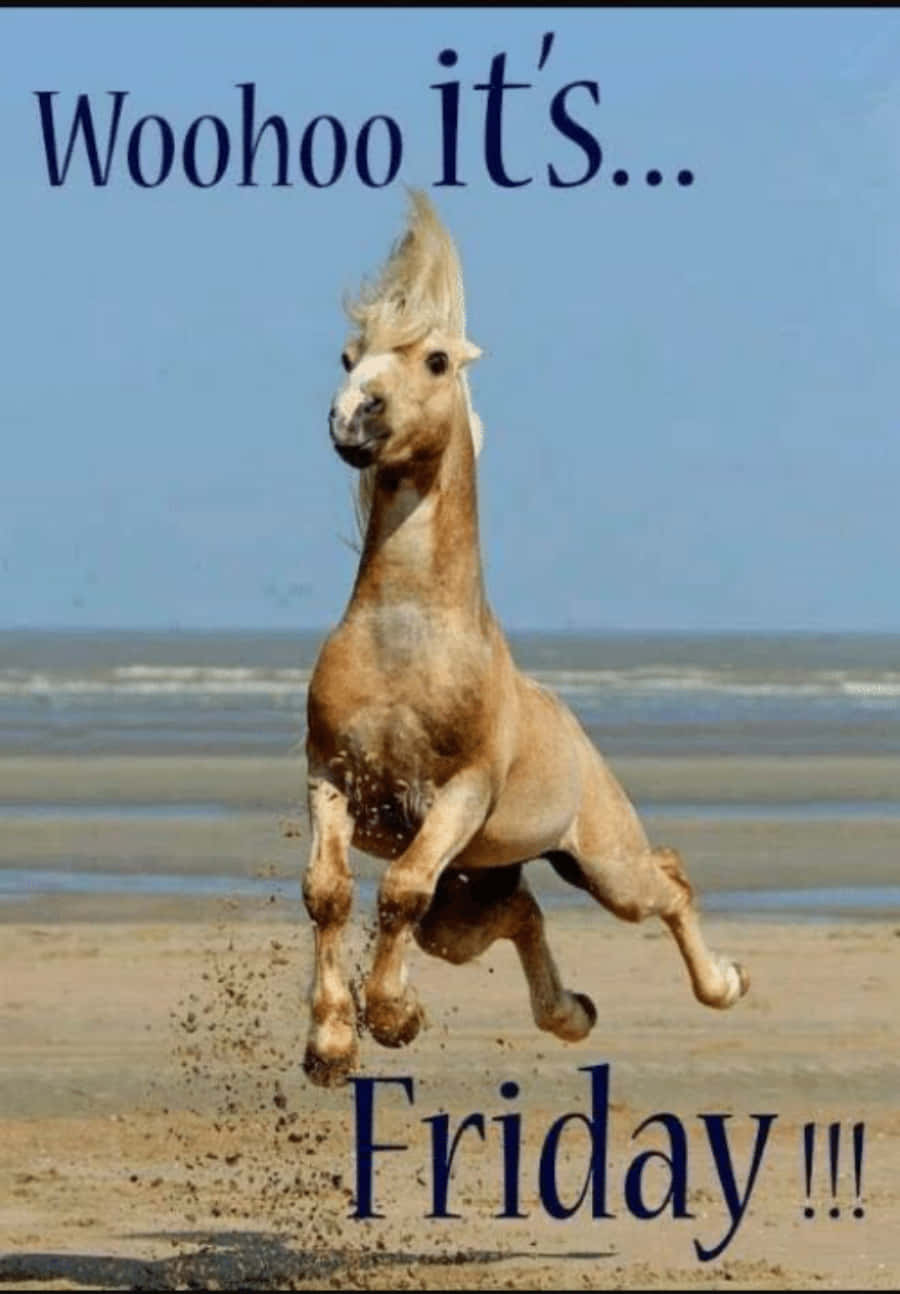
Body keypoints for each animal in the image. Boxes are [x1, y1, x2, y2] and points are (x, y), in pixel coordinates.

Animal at [302, 190, 749, 1087]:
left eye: (437, 359)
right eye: (348, 355)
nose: (351, 417)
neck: (405, 642)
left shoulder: (459, 795)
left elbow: (400, 889)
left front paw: (390, 1015)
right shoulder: (329, 777)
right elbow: (330, 893)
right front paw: (334, 1043)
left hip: (604, 862)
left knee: (667, 881)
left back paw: (723, 984)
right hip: (482, 882)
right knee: (522, 911)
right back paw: (571, 1013)